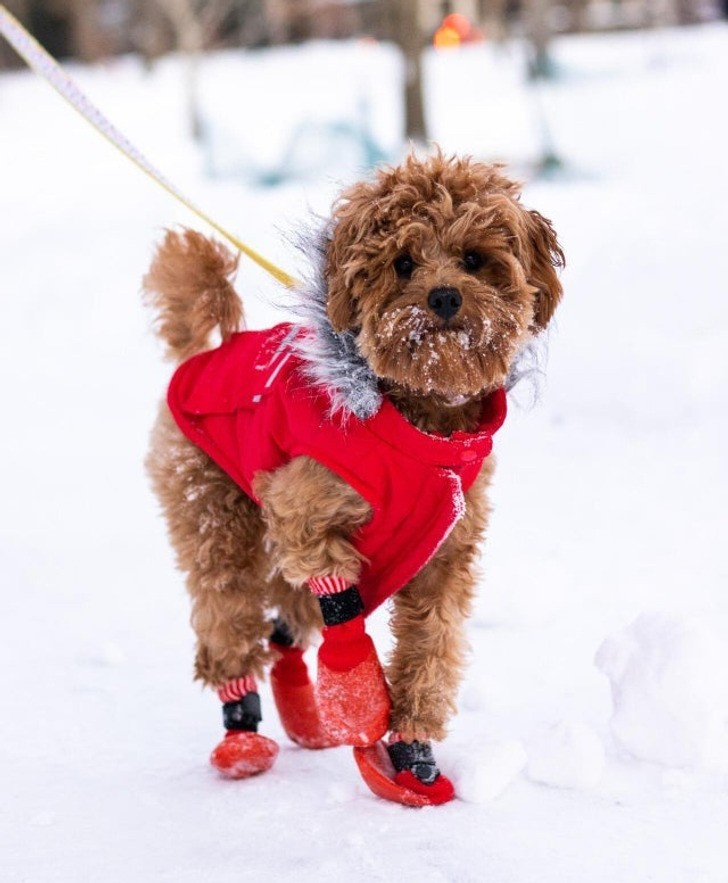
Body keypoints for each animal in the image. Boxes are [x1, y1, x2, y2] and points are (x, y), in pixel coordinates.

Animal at [142, 152, 564, 808]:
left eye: (473, 258)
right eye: (403, 262)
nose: (444, 296)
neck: (422, 429)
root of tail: (205, 352)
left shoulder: (447, 555)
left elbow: (430, 650)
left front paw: (413, 755)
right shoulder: (302, 511)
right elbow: (341, 607)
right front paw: (362, 704)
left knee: (285, 626)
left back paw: (307, 718)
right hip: (210, 506)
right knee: (230, 614)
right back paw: (242, 734)